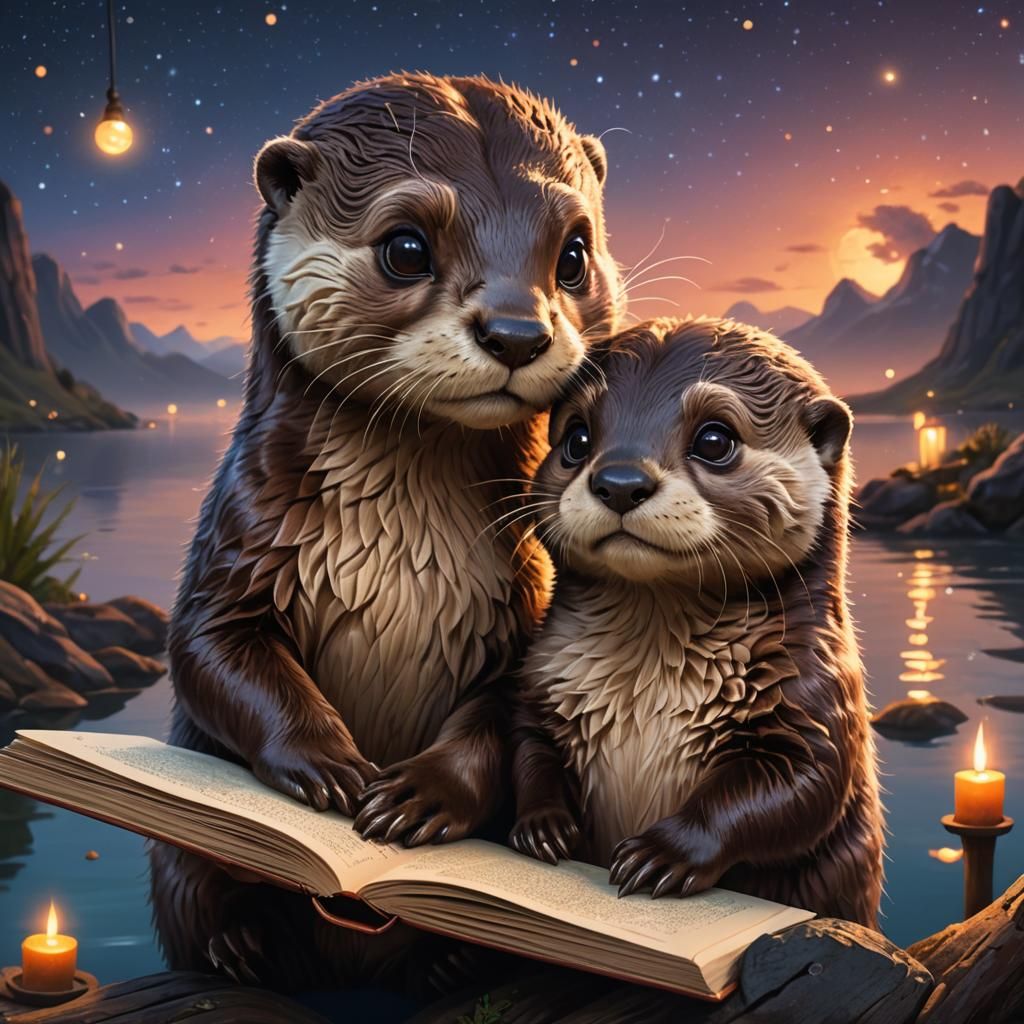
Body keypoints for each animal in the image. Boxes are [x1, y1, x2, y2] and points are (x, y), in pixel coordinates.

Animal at [150, 73, 622, 988]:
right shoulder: (240, 541)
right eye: (405, 247)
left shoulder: (525, 600)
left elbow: (500, 716)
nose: (517, 331)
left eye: (574, 255)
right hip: (174, 862)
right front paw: (329, 765)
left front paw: (420, 795)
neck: (403, 553)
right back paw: (238, 950)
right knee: (189, 891)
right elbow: (211, 653)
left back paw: (449, 961)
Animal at [511, 316, 884, 928]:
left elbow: (796, 789)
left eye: (715, 440)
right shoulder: (541, 682)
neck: (646, 689)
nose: (619, 482)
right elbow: (527, 746)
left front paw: (660, 855)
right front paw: (542, 825)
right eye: (576, 438)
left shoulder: (813, 703)